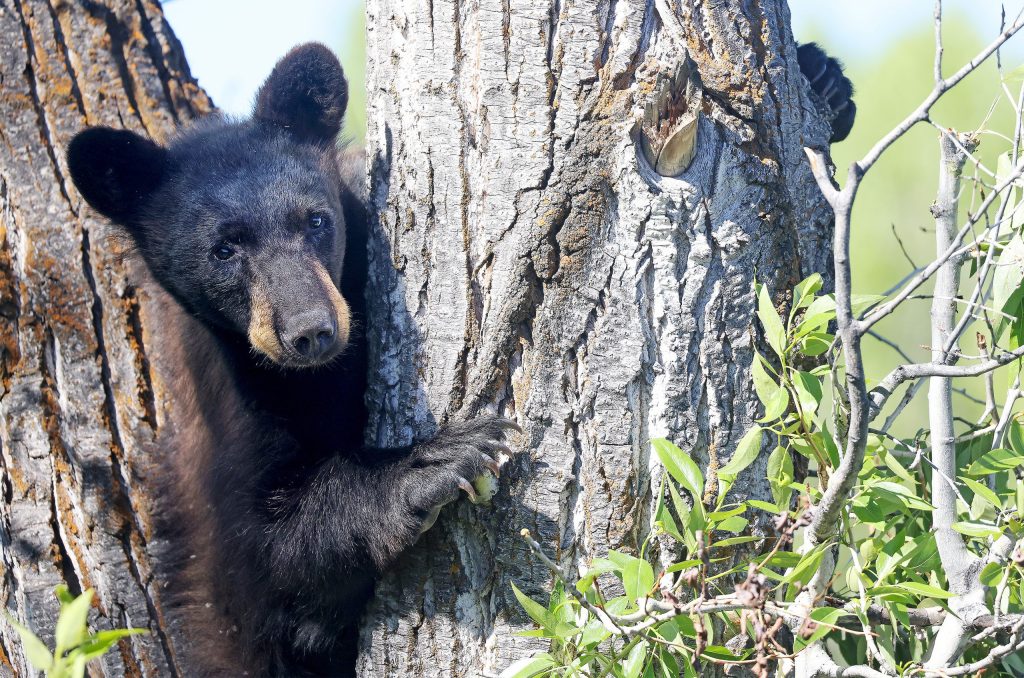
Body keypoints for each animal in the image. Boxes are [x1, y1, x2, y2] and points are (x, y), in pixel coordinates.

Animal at [67, 43, 515, 676]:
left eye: (316, 219)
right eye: (224, 249)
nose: (311, 332)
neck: (314, 383)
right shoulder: (228, 427)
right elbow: (264, 556)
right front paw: (430, 465)